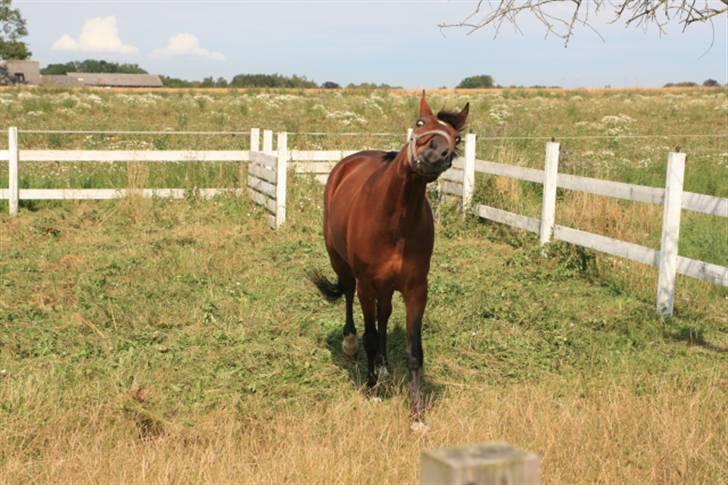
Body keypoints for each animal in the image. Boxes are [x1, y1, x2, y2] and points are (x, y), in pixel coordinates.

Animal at [308, 91, 470, 420]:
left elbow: (414, 351)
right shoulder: (368, 285)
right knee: (348, 294)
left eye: (457, 137)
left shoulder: (416, 289)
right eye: (419, 123)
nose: (438, 153)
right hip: (343, 265)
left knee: (383, 315)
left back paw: (383, 366)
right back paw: (350, 343)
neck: (396, 221)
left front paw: (417, 415)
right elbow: (370, 336)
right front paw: (371, 390)